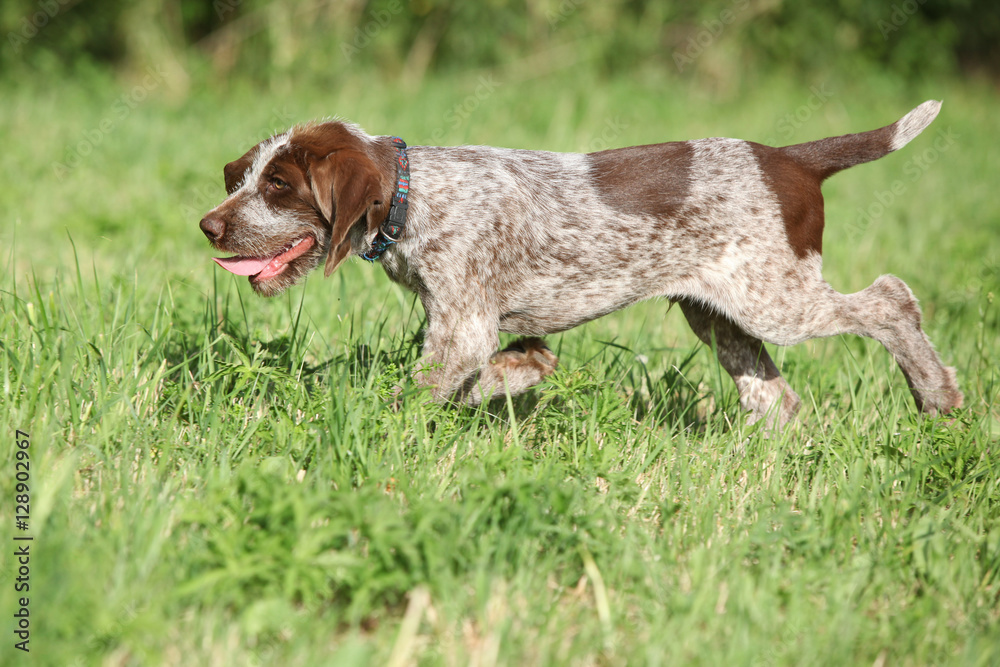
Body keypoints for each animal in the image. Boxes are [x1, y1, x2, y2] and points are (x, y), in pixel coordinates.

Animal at [199, 101, 962, 428]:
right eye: (245, 177)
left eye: (279, 187)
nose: (209, 225)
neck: (414, 197)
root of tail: (791, 160)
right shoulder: (475, 328)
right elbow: (513, 364)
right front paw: (512, 379)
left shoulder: (463, 328)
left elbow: (421, 390)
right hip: (718, 313)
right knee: (776, 397)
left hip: (775, 299)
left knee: (892, 298)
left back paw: (937, 395)